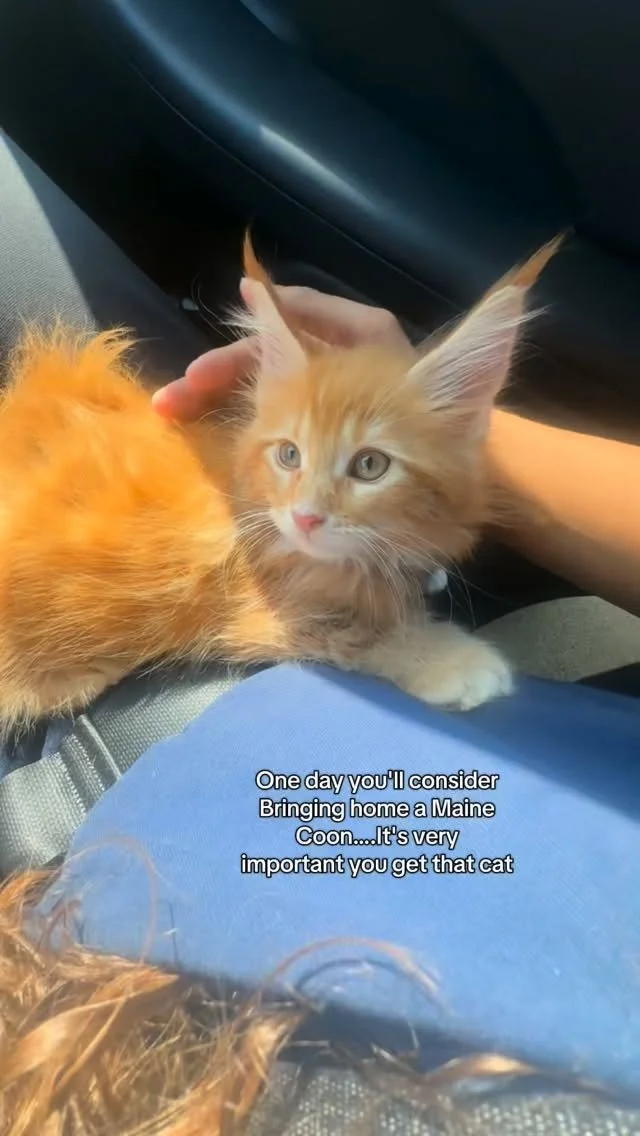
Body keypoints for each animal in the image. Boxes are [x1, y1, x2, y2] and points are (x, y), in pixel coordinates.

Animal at [0, 235, 557, 732]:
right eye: (290, 455)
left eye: (370, 465)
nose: (305, 517)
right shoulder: (260, 608)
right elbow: (360, 633)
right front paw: (452, 659)